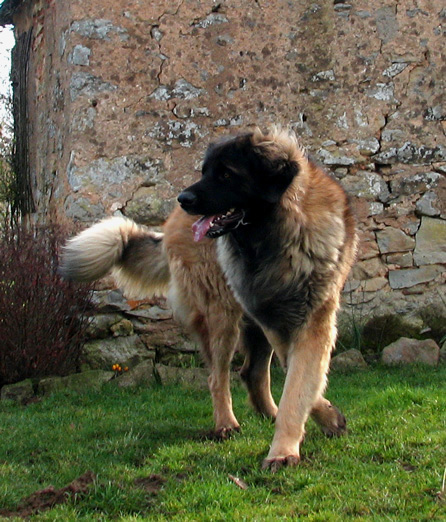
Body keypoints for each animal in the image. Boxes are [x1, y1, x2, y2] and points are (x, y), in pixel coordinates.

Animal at [60, 128, 358, 470]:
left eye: (227, 174)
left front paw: (304, 430)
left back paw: (269, 414)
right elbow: (298, 384)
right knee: (218, 377)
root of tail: (169, 226)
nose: (184, 199)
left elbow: (299, 384)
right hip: (221, 316)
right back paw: (226, 424)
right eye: (204, 172)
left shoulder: (302, 319)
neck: (275, 238)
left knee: (252, 373)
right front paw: (289, 447)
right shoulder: (278, 321)